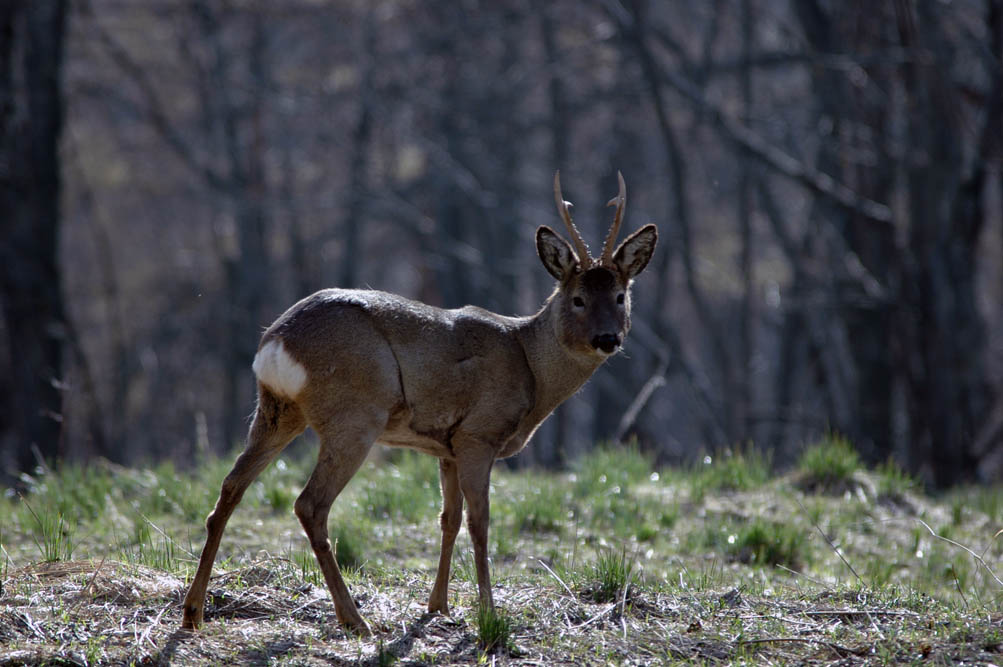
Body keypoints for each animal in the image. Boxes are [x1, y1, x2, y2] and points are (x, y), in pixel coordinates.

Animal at [180, 169, 657, 633]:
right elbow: (479, 522)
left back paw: (194, 611)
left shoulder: (445, 447)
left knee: (229, 490)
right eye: (577, 299)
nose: (607, 339)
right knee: (309, 505)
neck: (531, 368)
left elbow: (448, 519)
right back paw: (355, 619)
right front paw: (488, 611)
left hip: (276, 410)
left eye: (621, 296)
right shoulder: (478, 434)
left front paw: (438, 605)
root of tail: (276, 341)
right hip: (354, 416)